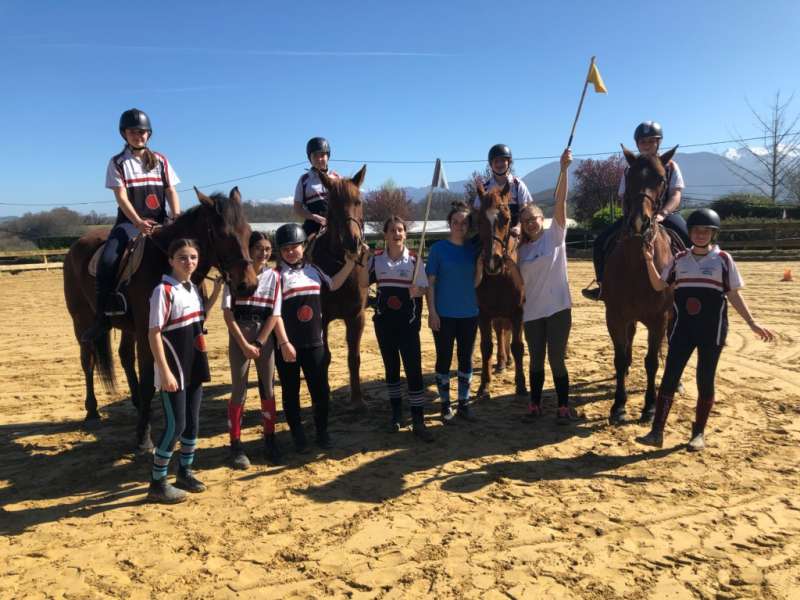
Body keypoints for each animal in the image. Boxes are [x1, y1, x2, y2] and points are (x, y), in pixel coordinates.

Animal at [63, 187, 258, 450]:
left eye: (247, 232)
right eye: (222, 234)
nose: (248, 285)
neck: (166, 261)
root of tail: (77, 245)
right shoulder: (149, 332)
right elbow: (149, 379)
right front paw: (143, 437)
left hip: (129, 328)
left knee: (125, 356)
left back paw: (136, 403)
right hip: (81, 320)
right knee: (88, 361)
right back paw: (92, 411)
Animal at [603, 146, 677, 424]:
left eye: (661, 179)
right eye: (629, 175)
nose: (638, 222)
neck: (637, 265)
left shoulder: (659, 319)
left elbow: (652, 362)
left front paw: (650, 406)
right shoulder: (615, 316)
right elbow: (620, 357)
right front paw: (618, 405)